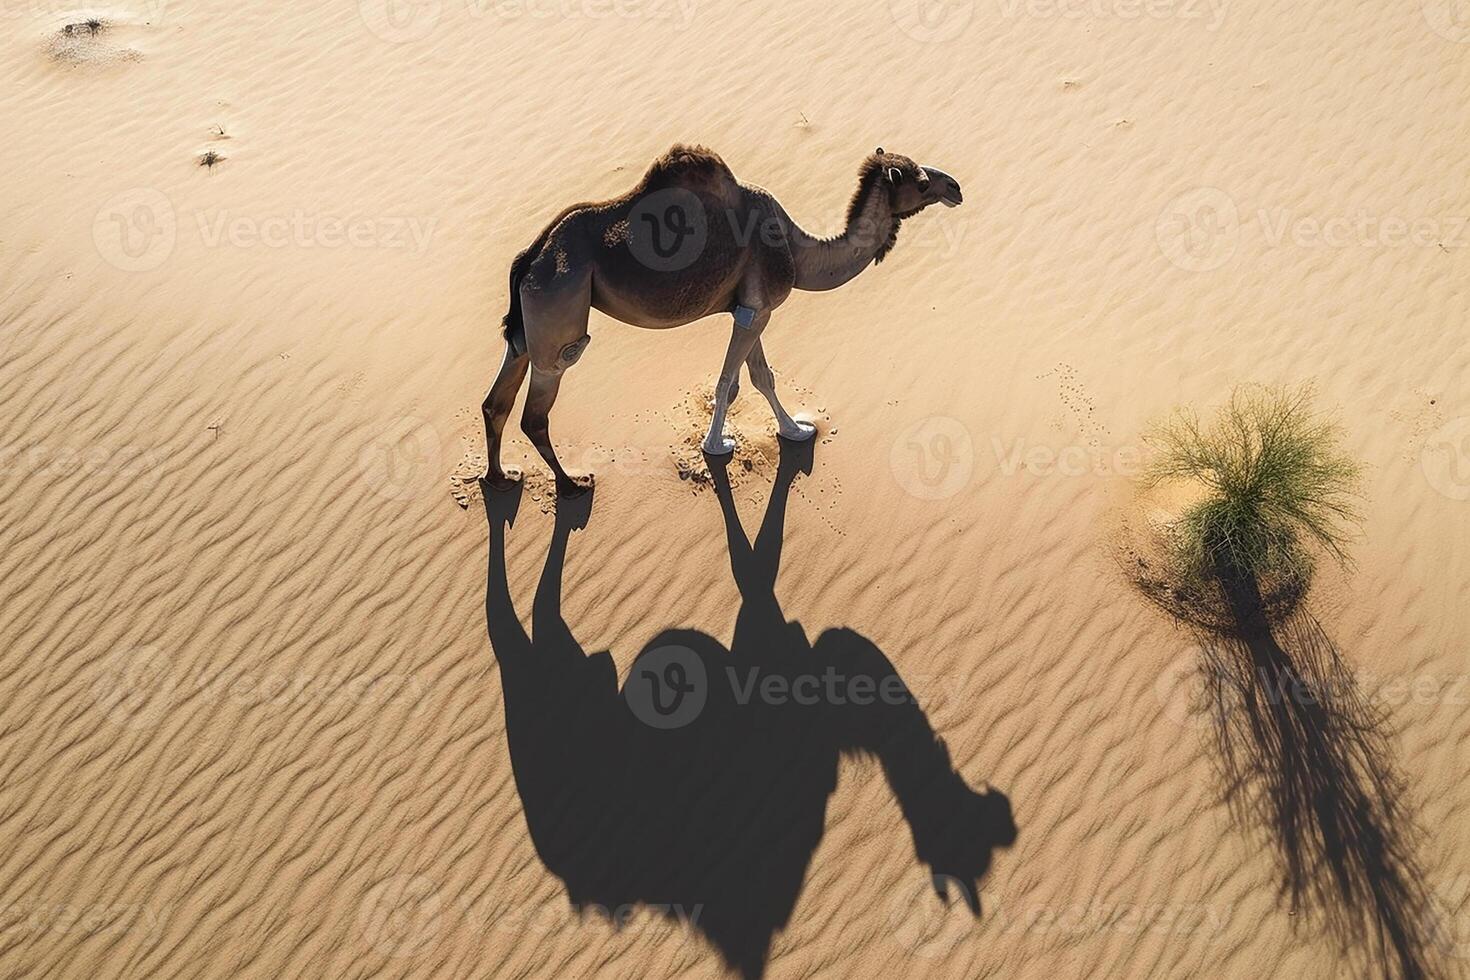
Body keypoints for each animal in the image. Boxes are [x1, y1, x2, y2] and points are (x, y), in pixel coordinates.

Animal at [482, 143, 964, 499]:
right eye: (921, 182)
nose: (955, 187)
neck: (798, 249)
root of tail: (531, 256)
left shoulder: (751, 307)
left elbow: (760, 376)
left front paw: (796, 431)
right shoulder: (758, 310)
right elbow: (729, 383)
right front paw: (719, 446)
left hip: (530, 325)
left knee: (497, 398)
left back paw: (501, 478)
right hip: (560, 312)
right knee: (538, 407)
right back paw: (572, 485)